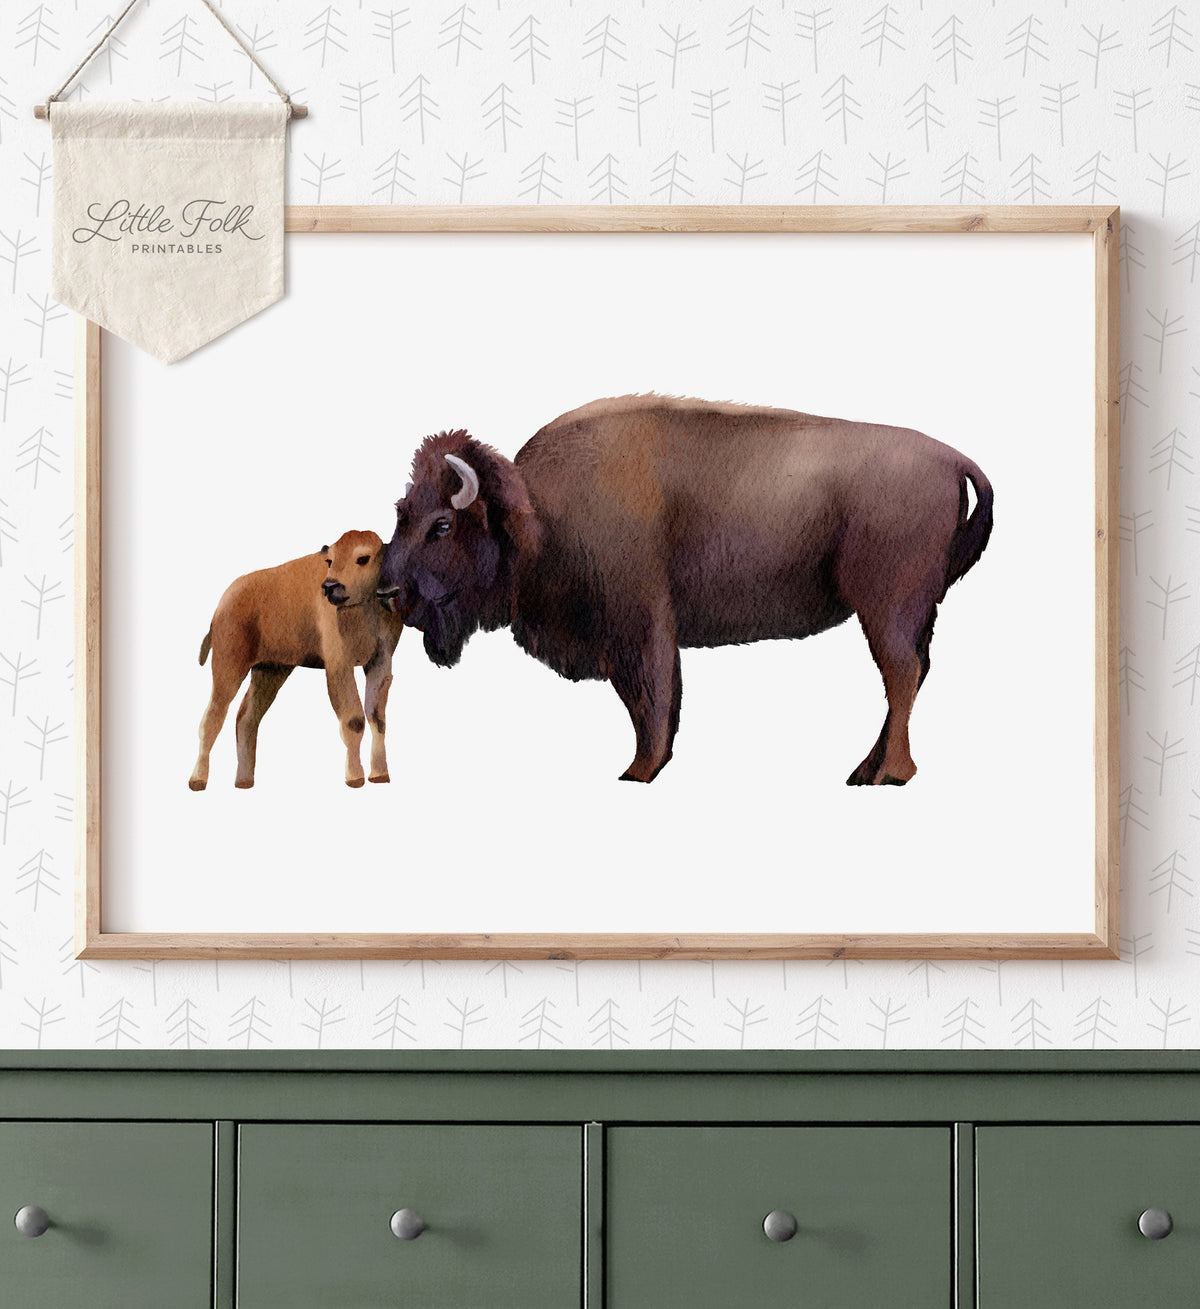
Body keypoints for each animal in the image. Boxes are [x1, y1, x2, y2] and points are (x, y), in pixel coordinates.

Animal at [377, 395, 993, 785]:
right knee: (910, 674)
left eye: (442, 525)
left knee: (900, 673)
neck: (538, 514)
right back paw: (867, 771)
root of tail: (954, 458)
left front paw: (639, 771)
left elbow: (650, 699)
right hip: (909, 611)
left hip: (885, 607)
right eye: (401, 512)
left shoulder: (640, 625)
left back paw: (889, 773)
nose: (387, 592)